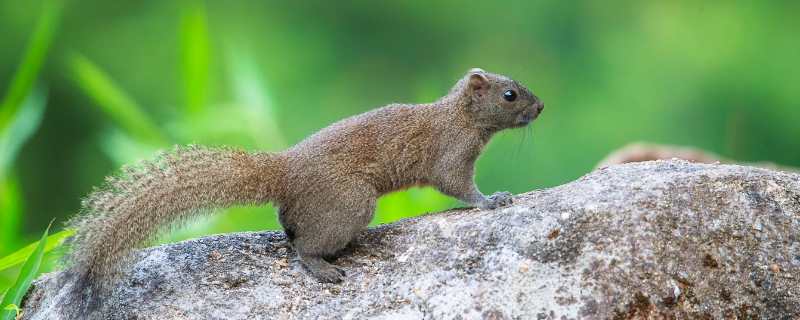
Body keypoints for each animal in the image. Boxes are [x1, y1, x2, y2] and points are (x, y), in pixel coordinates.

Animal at [57, 69, 544, 316]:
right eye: (510, 94)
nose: (541, 106)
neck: (459, 117)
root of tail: (285, 170)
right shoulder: (450, 155)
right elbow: (460, 187)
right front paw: (494, 200)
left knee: (289, 229)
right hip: (350, 202)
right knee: (304, 247)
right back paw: (327, 268)